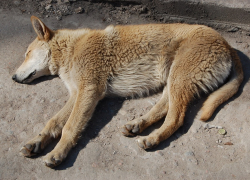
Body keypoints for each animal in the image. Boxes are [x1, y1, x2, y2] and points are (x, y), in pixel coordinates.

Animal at [12, 15, 243, 167]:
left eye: (27, 53)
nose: (13, 77)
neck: (71, 48)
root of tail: (226, 43)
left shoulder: (88, 91)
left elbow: (70, 127)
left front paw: (58, 152)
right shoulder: (77, 94)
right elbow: (53, 122)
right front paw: (36, 142)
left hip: (179, 79)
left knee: (176, 119)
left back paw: (152, 138)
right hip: (173, 80)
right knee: (163, 108)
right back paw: (138, 124)